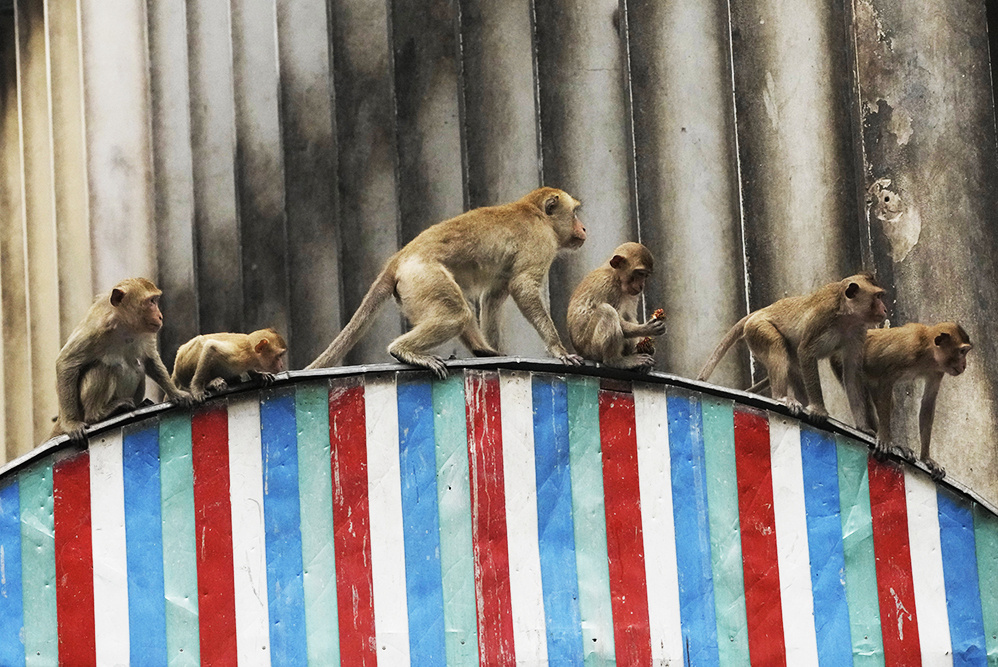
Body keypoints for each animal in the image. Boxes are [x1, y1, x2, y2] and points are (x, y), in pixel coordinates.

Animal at [51, 277, 192, 439]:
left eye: (156, 300)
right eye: (151, 301)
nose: (160, 316)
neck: (124, 326)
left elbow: (150, 360)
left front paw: (175, 393)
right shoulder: (94, 329)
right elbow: (66, 363)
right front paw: (71, 424)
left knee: (138, 367)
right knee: (103, 367)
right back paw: (99, 414)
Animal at [306, 187, 587, 378]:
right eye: (574, 213)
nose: (583, 228)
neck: (535, 212)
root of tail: (399, 258)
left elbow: (494, 295)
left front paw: (494, 349)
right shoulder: (540, 242)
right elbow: (523, 286)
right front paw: (558, 349)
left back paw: (481, 350)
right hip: (423, 278)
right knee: (456, 314)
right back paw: (402, 350)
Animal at [697, 273, 888, 426]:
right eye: (877, 296)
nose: (885, 309)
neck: (847, 316)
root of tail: (759, 311)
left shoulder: (858, 331)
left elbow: (852, 373)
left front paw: (865, 428)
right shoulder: (822, 317)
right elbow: (806, 352)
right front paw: (819, 410)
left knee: (794, 363)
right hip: (757, 328)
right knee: (776, 344)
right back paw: (780, 397)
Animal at [831, 322, 971, 480]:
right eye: (962, 351)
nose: (964, 365)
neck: (927, 351)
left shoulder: (937, 370)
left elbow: (928, 402)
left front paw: (926, 458)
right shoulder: (905, 351)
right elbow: (886, 379)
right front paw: (884, 439)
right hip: (840, 359)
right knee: (854, 379)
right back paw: (865, 428)